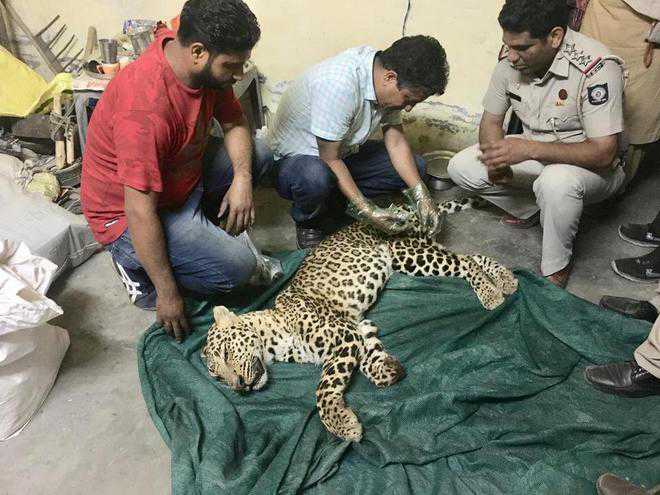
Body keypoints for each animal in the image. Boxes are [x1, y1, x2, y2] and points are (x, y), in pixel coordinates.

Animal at [201, 197, 518, 442]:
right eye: (217, 377)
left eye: (227, 354)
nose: (239, 387)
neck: (274, 340)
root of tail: (406, 208)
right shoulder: (358, 329)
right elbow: (371, 357)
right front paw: (388, 369)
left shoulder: (344, 336)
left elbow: (324, 387)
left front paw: (340, 423)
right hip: (420, 253)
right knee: (471, 256)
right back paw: (506, 279)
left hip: (408, 254)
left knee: (466, 262)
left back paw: (491, 293)